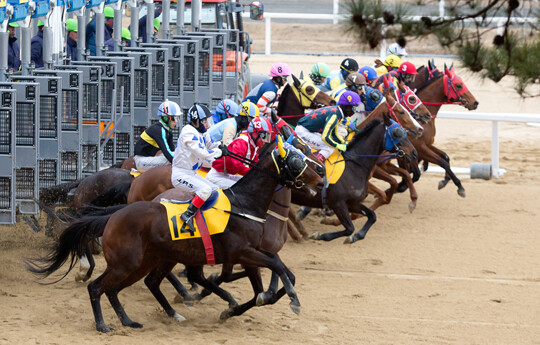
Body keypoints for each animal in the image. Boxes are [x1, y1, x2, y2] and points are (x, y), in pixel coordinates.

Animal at [27, 140, 322, 330]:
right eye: (297, 157)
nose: (321, 177)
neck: (245, 204)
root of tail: (114, 215)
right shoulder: (243, 252)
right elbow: (274, 269)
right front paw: (292, 299)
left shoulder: (251, 254)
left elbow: (271, 279)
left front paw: (236, 307)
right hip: (128, 262)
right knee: (99, 287)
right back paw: (103, 323)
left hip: (147, 261)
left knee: (133, 285)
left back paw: (137, 319)